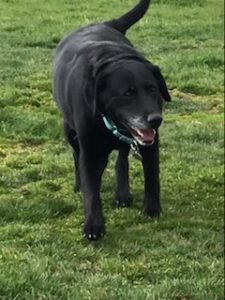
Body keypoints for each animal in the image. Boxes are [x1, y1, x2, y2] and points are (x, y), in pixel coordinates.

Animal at [52, 0, 171, 239]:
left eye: (152, 89)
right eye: (128, 93)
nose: (155, 119)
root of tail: (105, 23)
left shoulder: (151, 145)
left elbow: (152, 178)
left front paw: (152, 210)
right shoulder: (89, 152)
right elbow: (91, 191)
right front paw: (93, 225)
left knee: (121, 160)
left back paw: (122, 193)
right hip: (69, 131)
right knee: (76, 157)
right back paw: (79, 185)